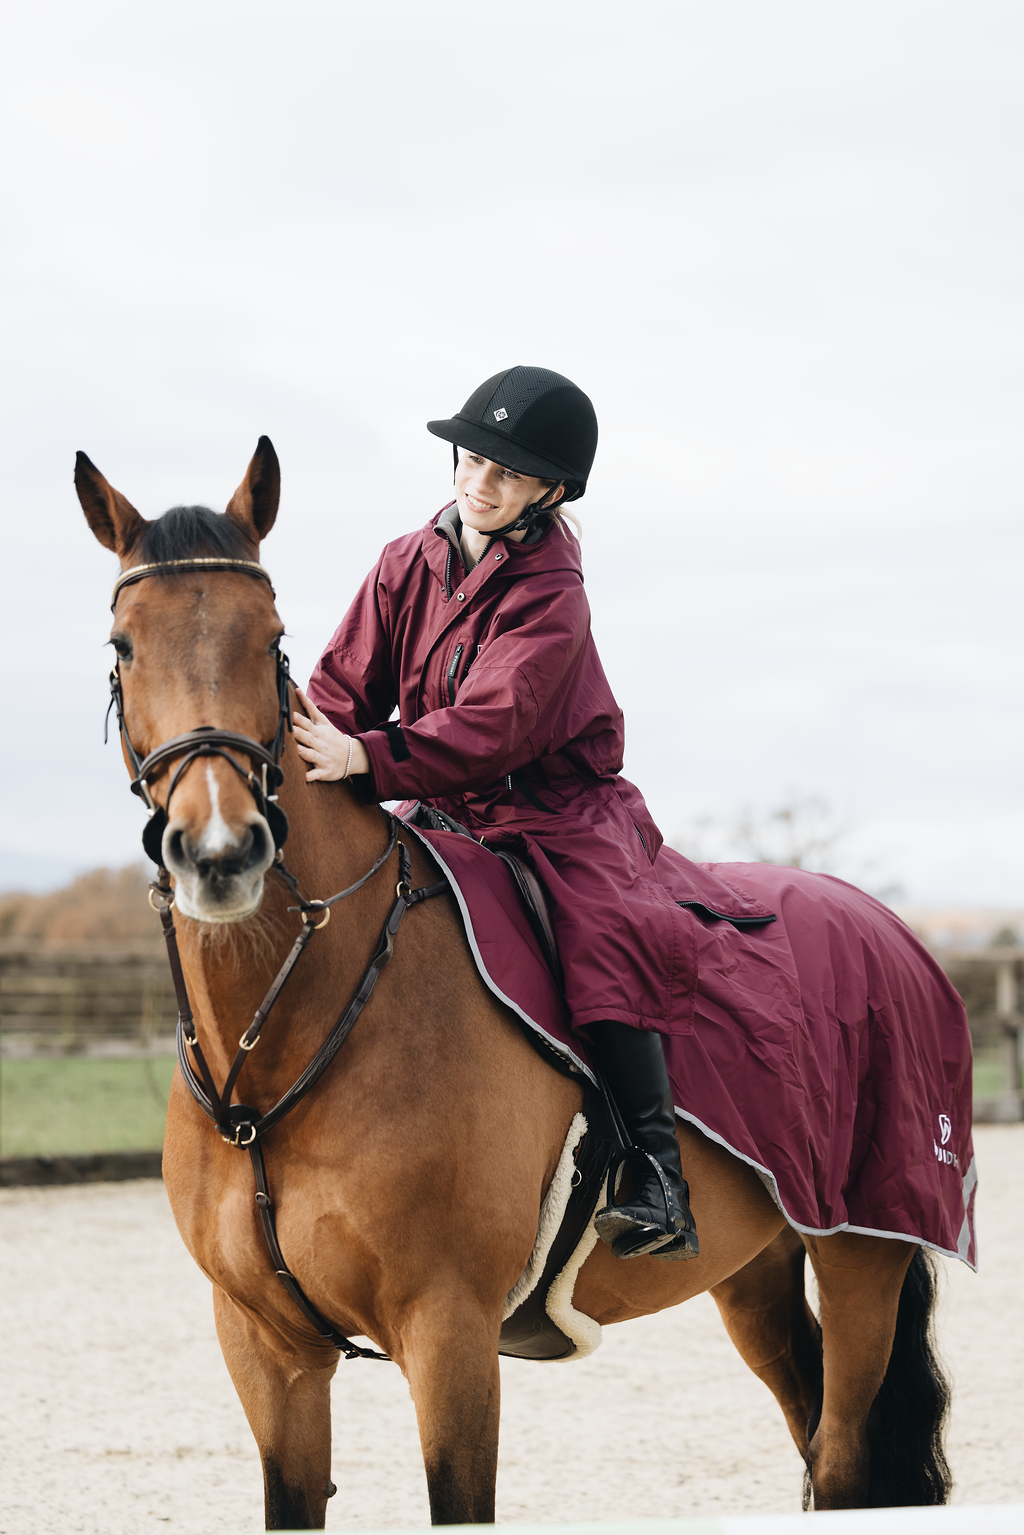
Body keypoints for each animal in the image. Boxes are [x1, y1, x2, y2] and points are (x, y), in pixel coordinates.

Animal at [76, 437, 957, 1527]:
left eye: (272, 639)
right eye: (123, 644)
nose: (219, 851)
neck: (282, 1048)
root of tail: (890, 929)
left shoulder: (449, 1336)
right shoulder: (266, 1350)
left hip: (859, 1256)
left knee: (839, 1461)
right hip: (756, 1271)